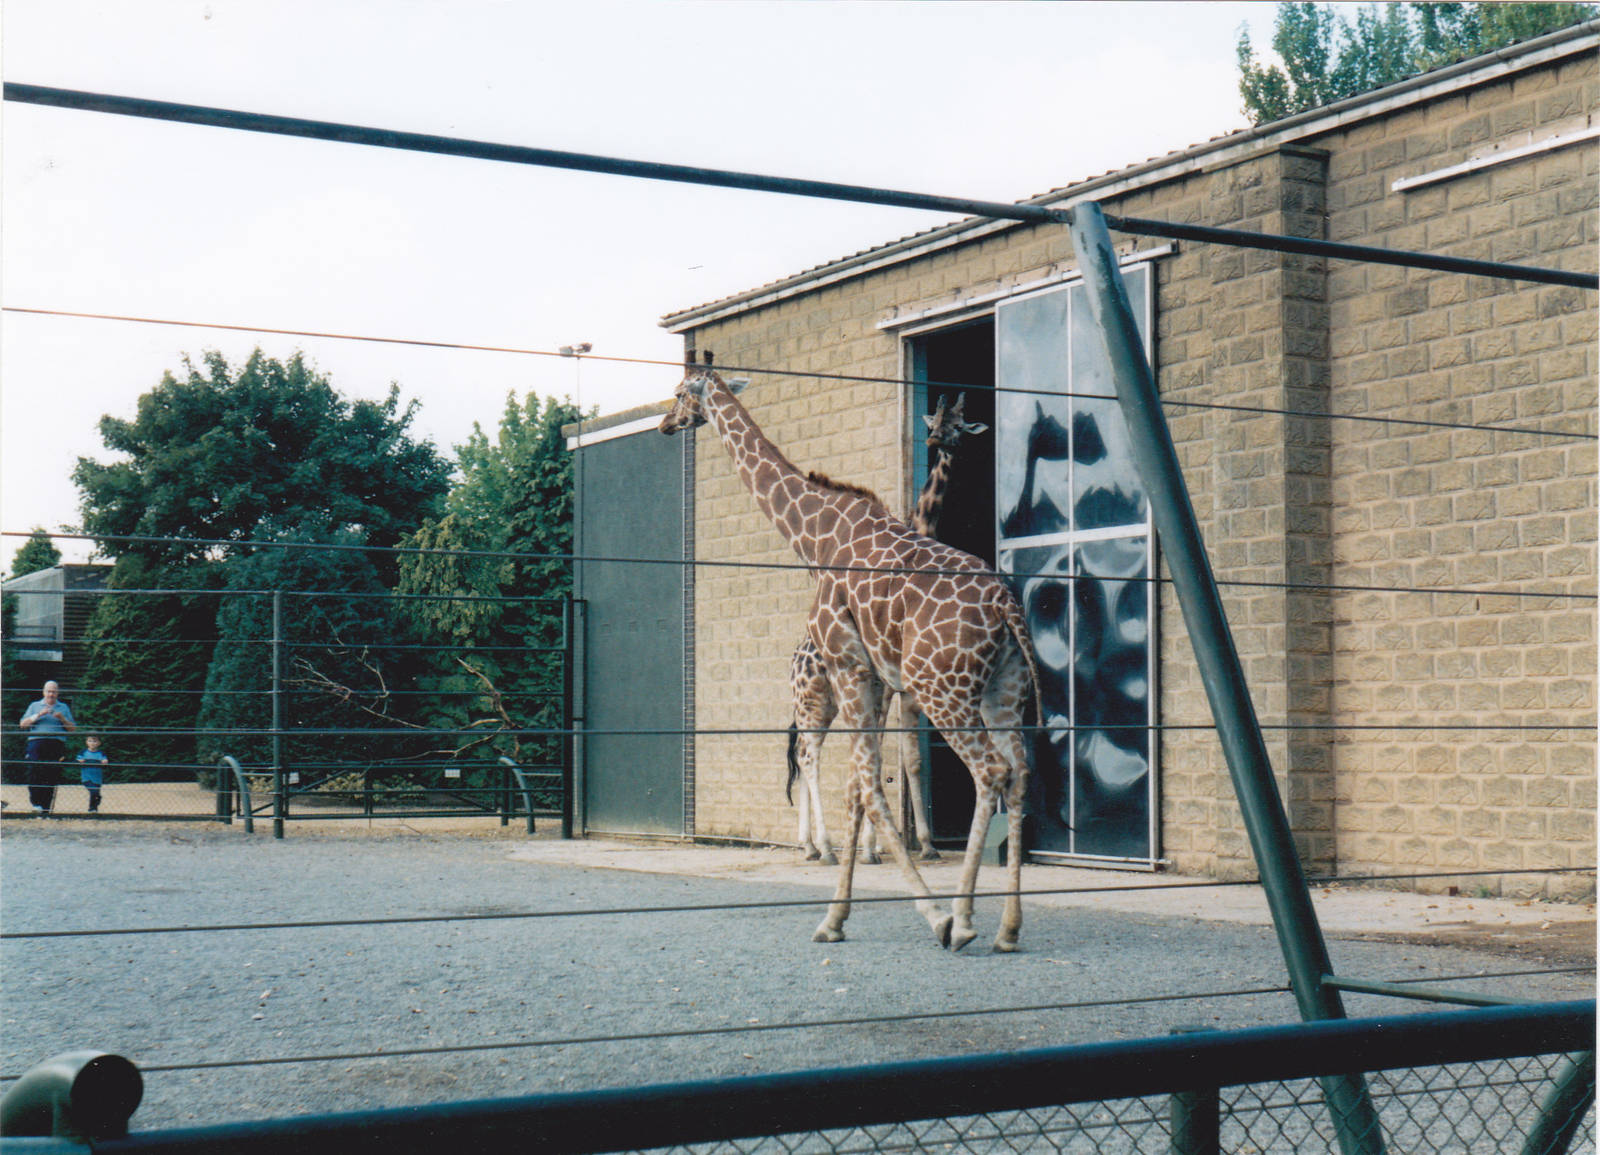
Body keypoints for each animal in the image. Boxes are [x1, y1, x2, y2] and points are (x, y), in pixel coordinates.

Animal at [787, 393, 988, 866]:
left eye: (959, 424)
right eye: (934, 421)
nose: (935, 440)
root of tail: (793, 662)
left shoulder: (904, 690)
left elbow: (910, 758)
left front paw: (924, 844)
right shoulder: (890, 688)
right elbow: (882, 753)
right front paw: (873, 846)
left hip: (824, 705)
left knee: (806, 754)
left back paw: (809, 845)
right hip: (813, 700)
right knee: (808, 756)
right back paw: (823, 846)